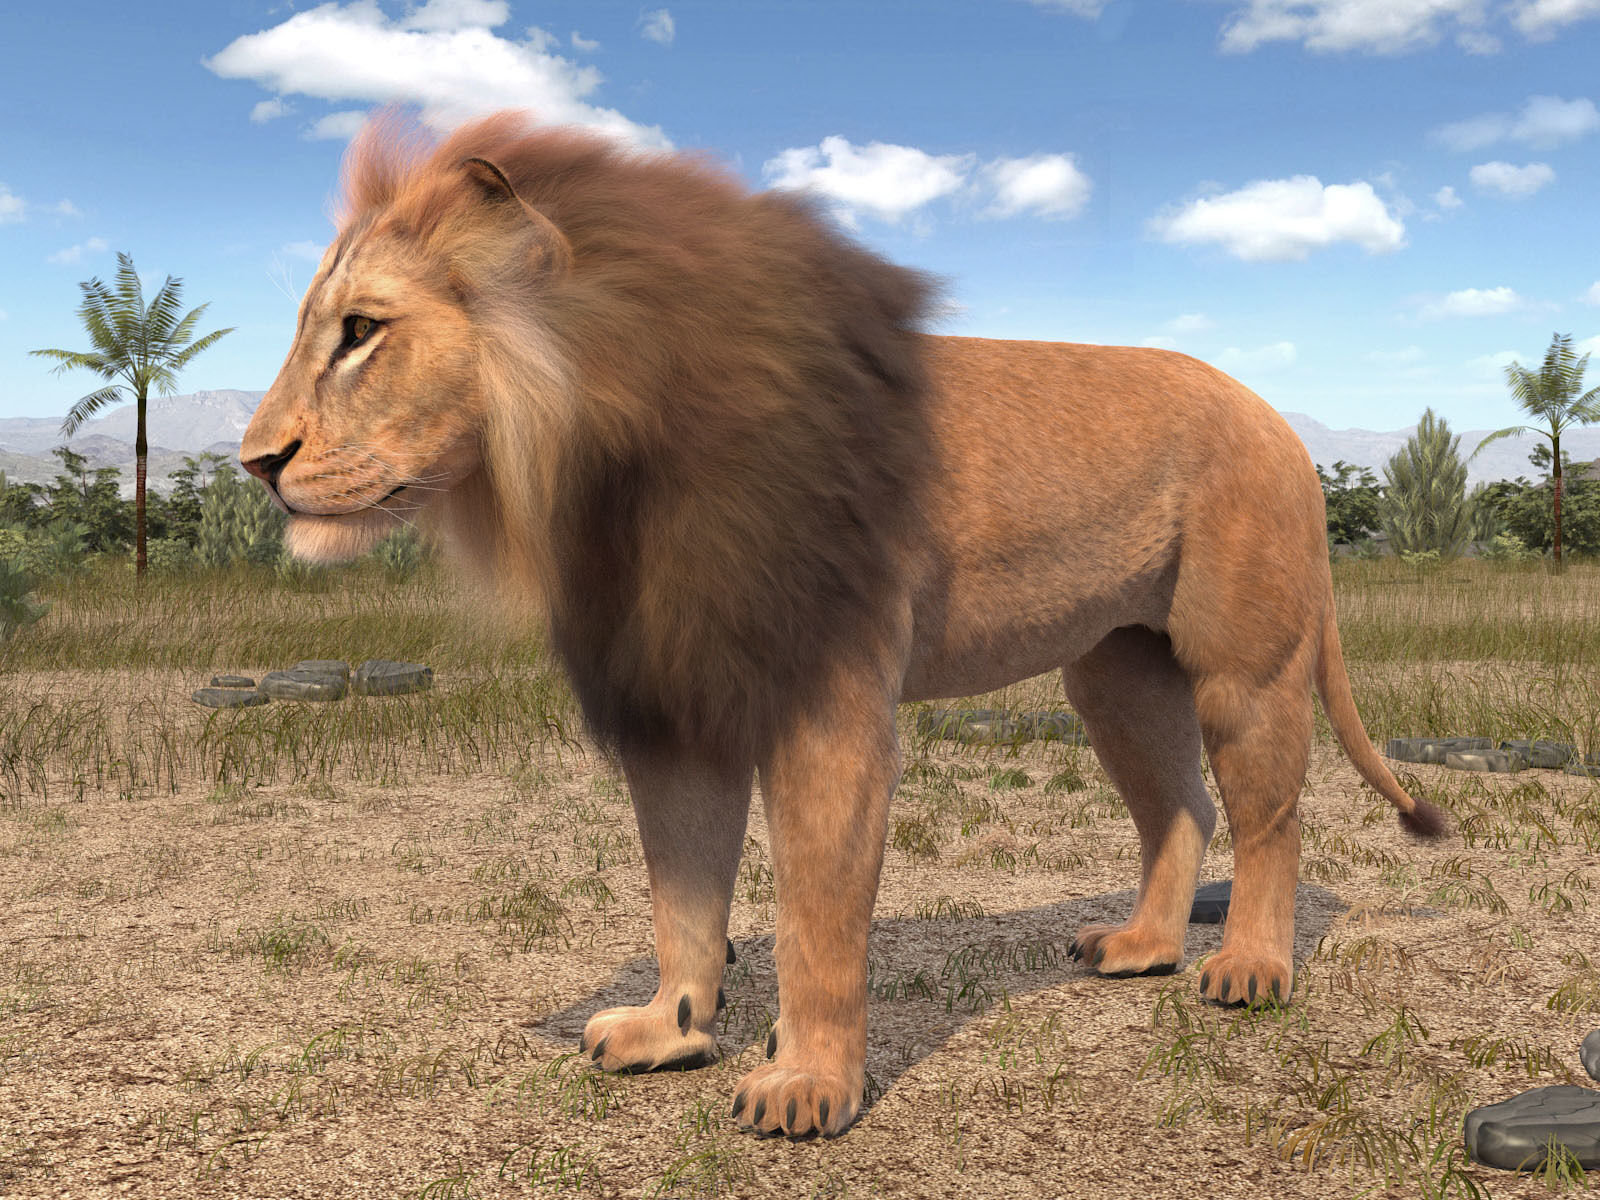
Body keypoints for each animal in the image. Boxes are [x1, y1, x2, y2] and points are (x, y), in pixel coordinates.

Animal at [241, 110, 1446, 1139]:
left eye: (361, 332)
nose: (255, 463)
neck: (605, 475)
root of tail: (1278, 418)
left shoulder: (826, 707)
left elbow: (817, 918)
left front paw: (808, 1087)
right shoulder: (675, 706)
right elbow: (683, 891)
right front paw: (670, 1030)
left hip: (1249, 663)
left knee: (1270, 817)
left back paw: (1249, 970)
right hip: (1113, 674)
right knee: (1179, 808)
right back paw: (1142, 948)